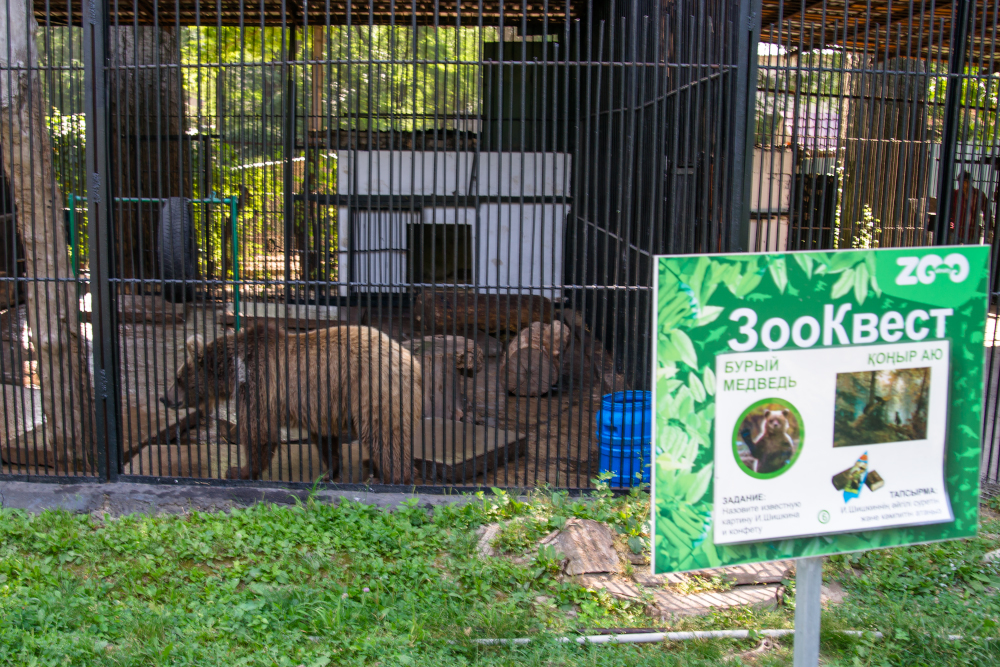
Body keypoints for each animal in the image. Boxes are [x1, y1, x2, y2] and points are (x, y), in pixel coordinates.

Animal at [159, 322, 422, 482]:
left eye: (178, 378)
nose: (164, 397)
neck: (233, 369)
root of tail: (410, 359)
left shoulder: (257, 384)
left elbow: (258, 431)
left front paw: (237, 471)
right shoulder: (320, 404)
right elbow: (325, 439)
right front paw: (328, 472)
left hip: (373, 388)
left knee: (384, 434)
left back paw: (394, 477)